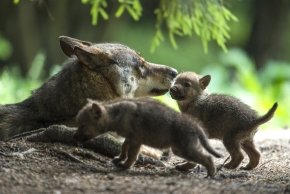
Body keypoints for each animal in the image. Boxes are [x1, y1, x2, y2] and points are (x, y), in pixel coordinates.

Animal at [73, 98, 222, 178]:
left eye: (83, 125)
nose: (74, 136)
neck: (117, 114)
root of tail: (196, 126)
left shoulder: (136, 139)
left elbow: (132, 155)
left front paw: (125, 166)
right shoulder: (129, 138)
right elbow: (123, 148)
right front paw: (119, 159)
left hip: (184, 149)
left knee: (207, 158)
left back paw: (210, 174)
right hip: (181, 149)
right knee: (196, 160)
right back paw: (182, 167)